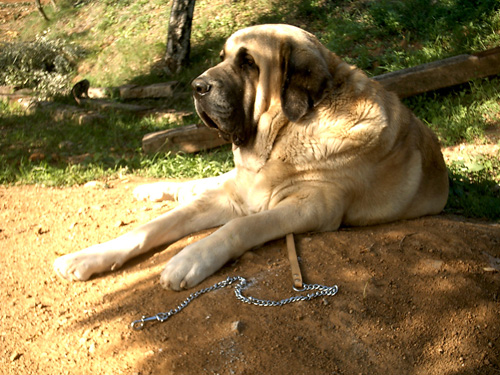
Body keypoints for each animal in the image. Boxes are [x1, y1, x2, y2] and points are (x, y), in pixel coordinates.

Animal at [54, 24, 450, 290]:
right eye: (223, 58)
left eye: (248, 63)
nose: (197, 86)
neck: (280, 140)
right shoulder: (234, 196)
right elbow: (152, 227)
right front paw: (87, 257)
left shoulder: (312, 206)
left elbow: (240, 226)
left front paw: (189, 259)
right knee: (196, 187)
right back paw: (152, 189)